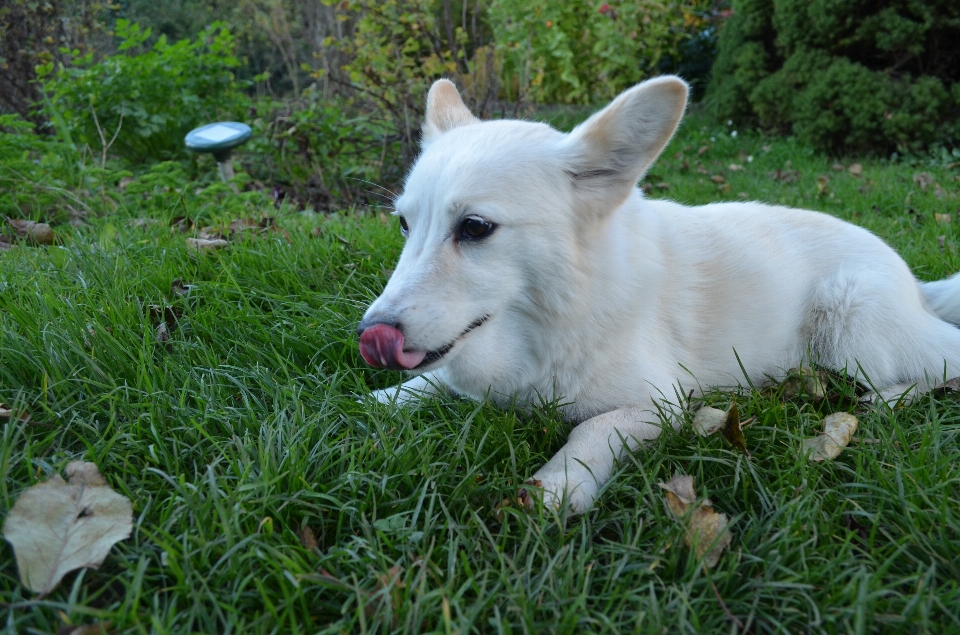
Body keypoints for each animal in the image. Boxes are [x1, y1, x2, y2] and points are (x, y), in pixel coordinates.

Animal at [356, 74, 960, 516]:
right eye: (405, 225)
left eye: (476, 227)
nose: (369, 335)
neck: (552, 319)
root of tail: (911, 279)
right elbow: (432, 381)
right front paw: (382, 401)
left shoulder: (661, 404)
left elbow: (593, 427)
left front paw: (558, 484)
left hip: (854, 324)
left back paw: (891, 398)